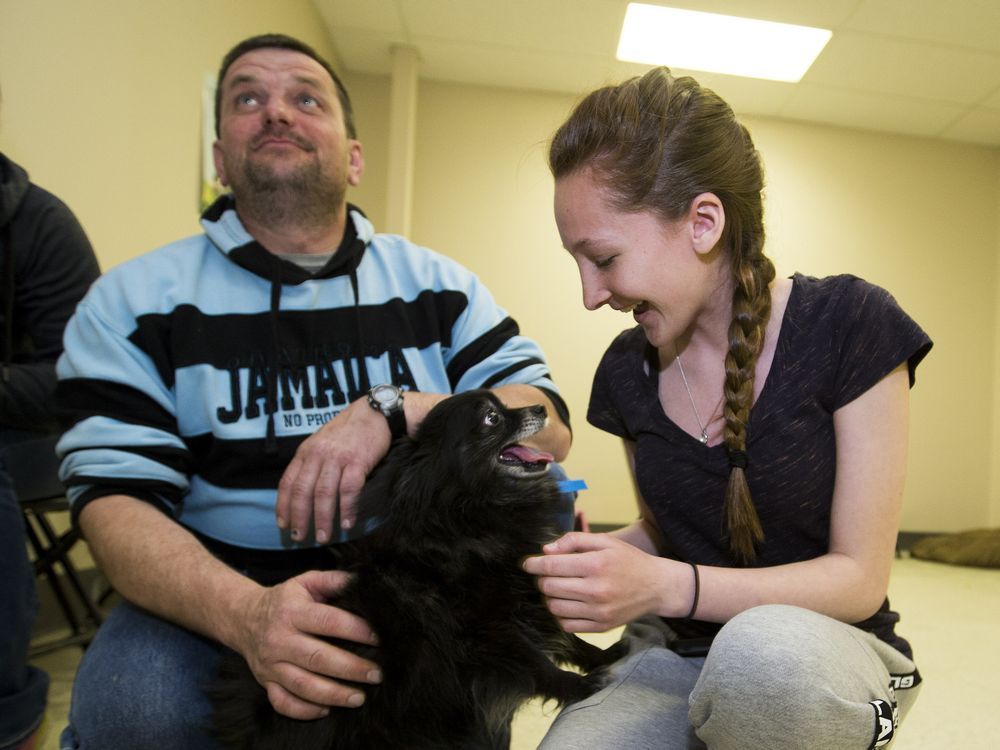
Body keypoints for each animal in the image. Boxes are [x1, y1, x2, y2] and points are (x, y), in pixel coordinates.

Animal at [208, 390, 620, 748]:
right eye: (492, 418)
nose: (540, 407)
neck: (472, 515)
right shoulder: (488, 628)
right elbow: (536, 663)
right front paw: (577, 686)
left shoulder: (531, 595)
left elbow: (568, 638)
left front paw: (605, 655)